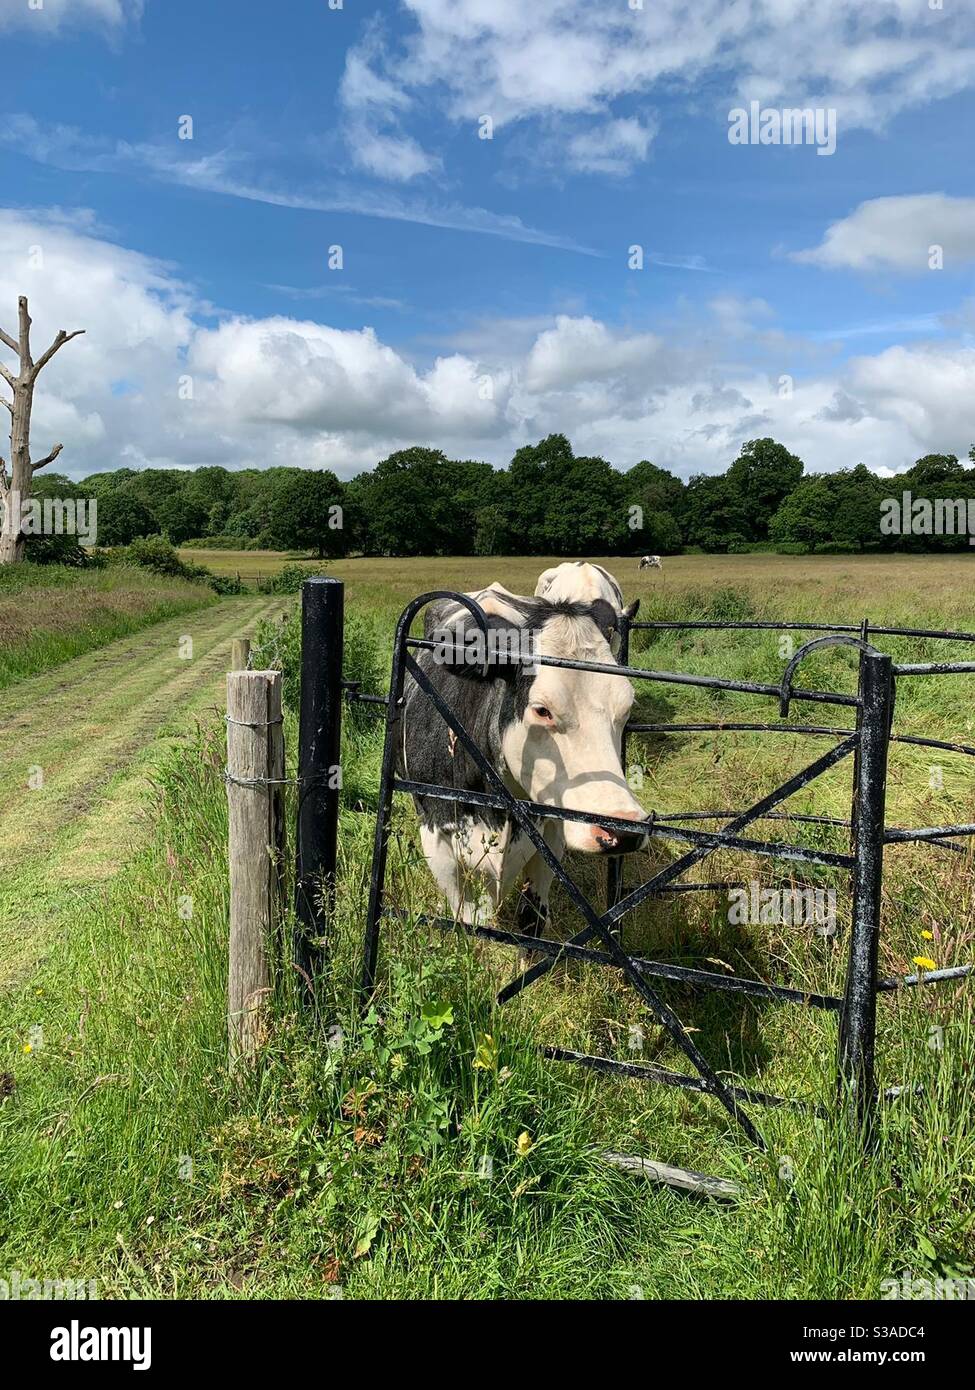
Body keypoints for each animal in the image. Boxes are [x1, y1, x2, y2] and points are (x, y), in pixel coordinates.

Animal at [401, 584, 647, 934]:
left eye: (626, 707)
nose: (624, 829)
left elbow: (533, 921)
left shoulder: (552, 834)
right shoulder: (435, 834)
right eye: (542, 710)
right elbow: (466, 917)